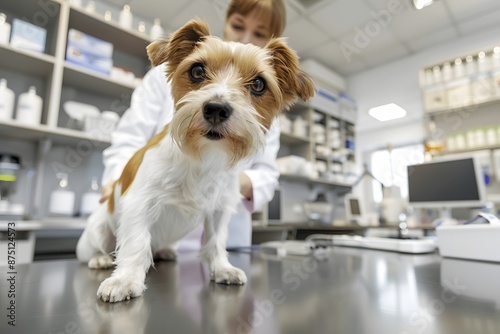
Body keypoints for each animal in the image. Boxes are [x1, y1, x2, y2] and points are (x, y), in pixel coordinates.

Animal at [76, 19, 314, 304]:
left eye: (258, 84)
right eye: (197, 70)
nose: (216, 108)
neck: (204, 157)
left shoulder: (219, 210)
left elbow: (216, 242)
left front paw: (222, 268)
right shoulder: (138, 203)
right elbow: (135, 242)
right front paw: (125, 280)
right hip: (98, 229)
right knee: (98, 248)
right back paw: (100, 258)